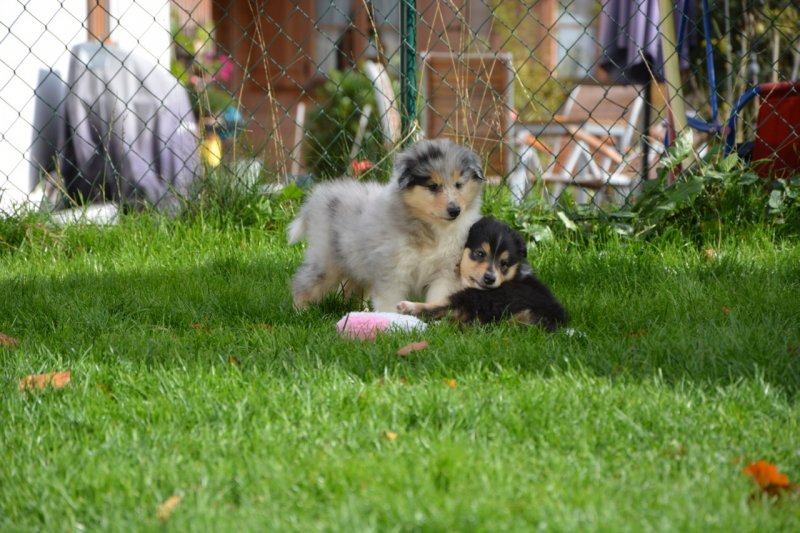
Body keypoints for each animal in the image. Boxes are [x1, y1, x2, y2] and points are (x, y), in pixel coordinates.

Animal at [288, 139, 485, 312]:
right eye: (433, 186)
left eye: (459, 184)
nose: (455, 210)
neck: (432, 229)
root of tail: (320, 196)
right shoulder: (393, 269)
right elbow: (390, 300)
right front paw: (392, 322)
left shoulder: (444, 271)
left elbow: (438, 296)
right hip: (326, 262)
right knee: (303, 283)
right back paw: (300, 311)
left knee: (351, 289)